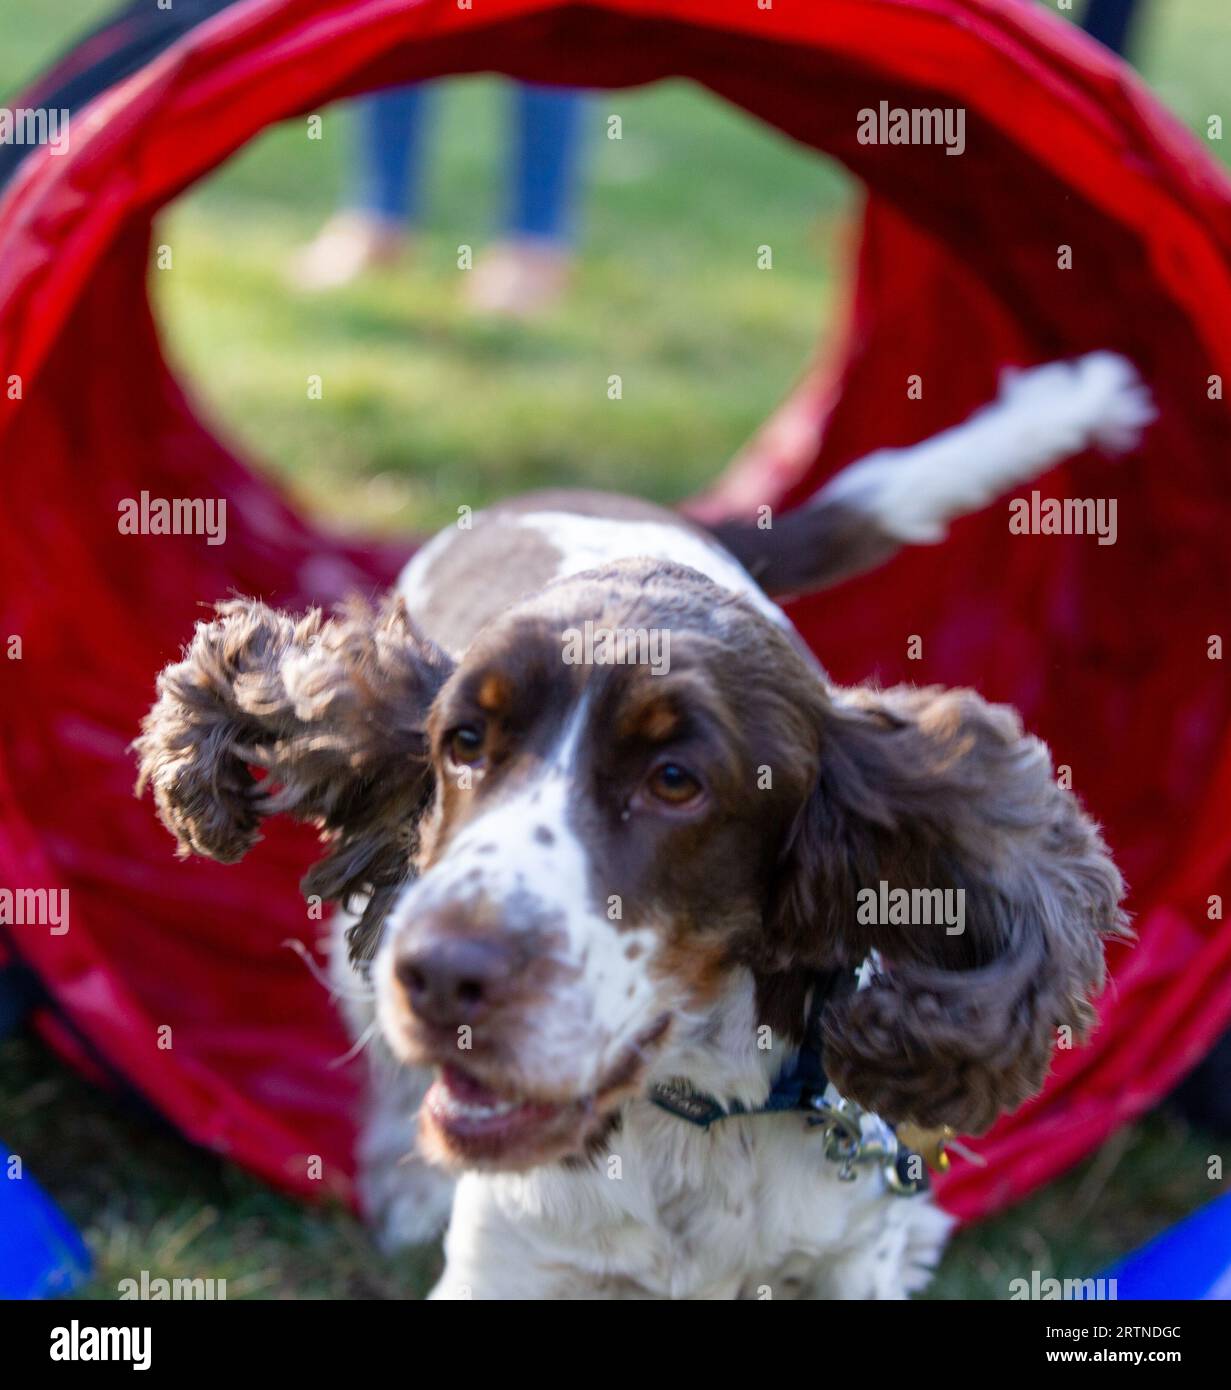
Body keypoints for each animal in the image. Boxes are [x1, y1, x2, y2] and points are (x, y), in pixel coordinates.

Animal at [139, 353, 1150, 1295]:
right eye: (463, 741)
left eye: (674, 782)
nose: (440, 975)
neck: (699, 1114)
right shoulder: (506, 1261)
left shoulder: (851, 1255)